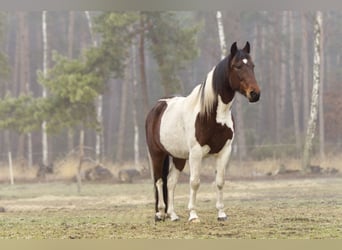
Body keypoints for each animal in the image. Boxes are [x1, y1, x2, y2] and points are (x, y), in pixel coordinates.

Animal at [146, 41, 260, 223]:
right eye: (237, 66)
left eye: (252, 65)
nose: (255, 94)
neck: (212, 114)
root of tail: (157, 107)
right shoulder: (196, 153)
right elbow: (195, 182)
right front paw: (193, 215)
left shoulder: (224, 151)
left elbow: (220, 181)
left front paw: (221, 214)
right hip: (157, 153)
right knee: (158, 181)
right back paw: (160, 213)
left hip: (178, 157)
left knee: (170, 182)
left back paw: (173, 215)